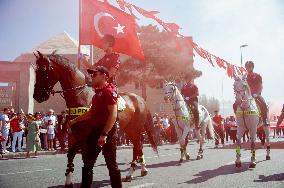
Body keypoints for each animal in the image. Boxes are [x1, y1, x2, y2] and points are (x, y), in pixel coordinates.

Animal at [33, 50, 158, 184]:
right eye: (36, 70)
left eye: (44, 70)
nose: (37, 95)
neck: (82, 96)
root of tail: (140, 99)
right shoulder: (79, 137)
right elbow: (71, 154)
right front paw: (68, 179)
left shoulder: (86, 139)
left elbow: (83, 159)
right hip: (129, 130)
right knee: (138, 147)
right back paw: (141, 169)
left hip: (135, 130)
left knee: (137, 146)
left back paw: (132, 172)